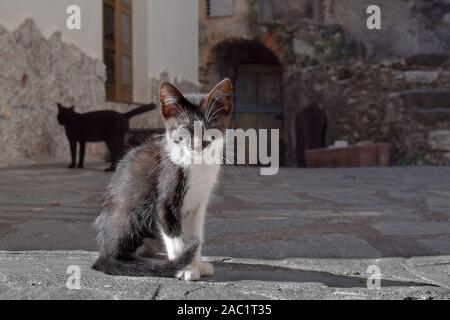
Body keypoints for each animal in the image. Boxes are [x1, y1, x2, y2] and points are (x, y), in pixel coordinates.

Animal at [91, 78, 232, 280]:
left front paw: (197, 263)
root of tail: (103, 253)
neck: (198, 164)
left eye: (211, 126)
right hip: (132, 214)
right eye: (184, 128)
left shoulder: (199, 204)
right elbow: (175, 236)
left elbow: (196, 234)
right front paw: (185, 268)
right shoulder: (164, 199)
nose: (198, 144)